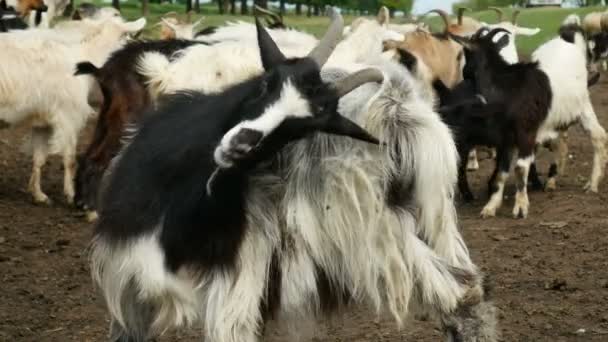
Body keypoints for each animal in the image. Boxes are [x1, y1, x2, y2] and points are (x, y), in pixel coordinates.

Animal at [0, 17, 145, 204]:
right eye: (126, 36)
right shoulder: (68, 117)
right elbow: (69, 159)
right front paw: (70, 194)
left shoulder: (43, 122)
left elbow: (39, 158)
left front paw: (39, 195)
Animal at [91, 10, 498, 342]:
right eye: (266, 83)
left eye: (303, 127)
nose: (241, 144)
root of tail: (397, 110)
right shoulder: (134, 282)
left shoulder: (231, 285)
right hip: (424, 221)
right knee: (468, 291)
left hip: (372, 236)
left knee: (461, 294)